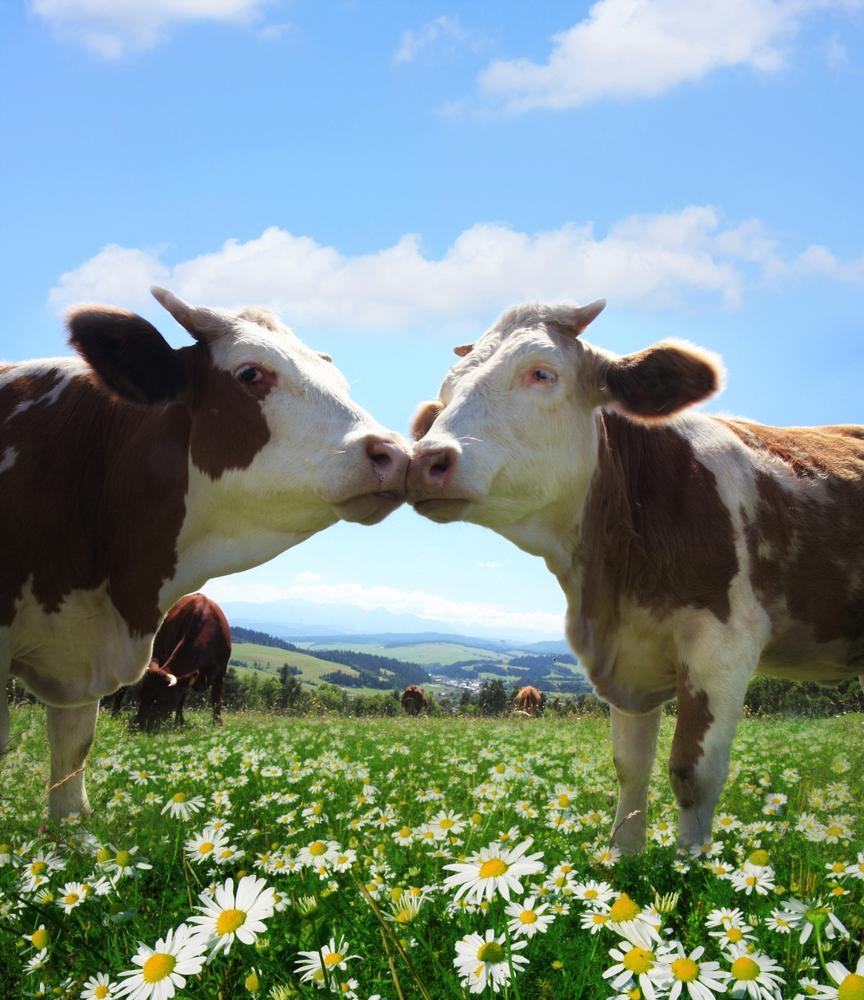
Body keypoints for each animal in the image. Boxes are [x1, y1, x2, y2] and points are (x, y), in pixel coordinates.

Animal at [406, 298, 864, 852]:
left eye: (542, 373)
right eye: (446, 393)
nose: (425, 460)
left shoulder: (723, 645)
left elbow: (692, 773)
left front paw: (693, 866)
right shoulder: (628, 663)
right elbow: (630, 768)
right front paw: (623, 858)